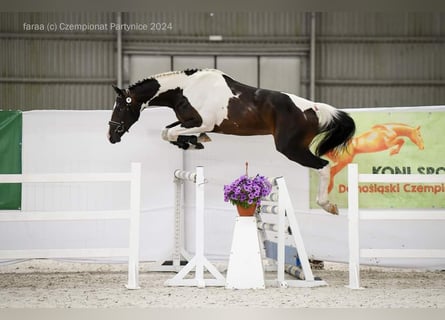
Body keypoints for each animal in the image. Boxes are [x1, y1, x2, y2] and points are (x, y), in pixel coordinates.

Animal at [109, 68, 356, 214]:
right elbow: (166, 132)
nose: (111, 136)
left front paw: (193, 141)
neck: (185, 89)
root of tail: (314, 108)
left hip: (291, 148)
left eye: (121, 107)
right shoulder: (188, 121)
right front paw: (192, 142)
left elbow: (170, 133)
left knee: (324, 166)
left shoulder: (202, 122)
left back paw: (327, 205)